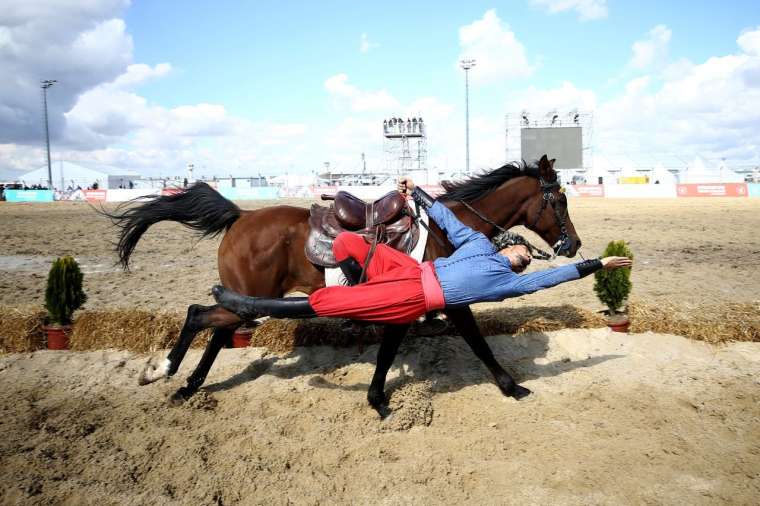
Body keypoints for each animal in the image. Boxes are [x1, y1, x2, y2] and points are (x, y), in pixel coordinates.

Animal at [107, 154, 580, 416]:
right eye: (559, 200)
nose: (573, 243)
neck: (448, 230)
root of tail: (241, 215)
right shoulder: (451, 300)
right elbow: (478, 345)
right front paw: (511, 386)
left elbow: (394, 351)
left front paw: (377, 396)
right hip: (255, 297)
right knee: (198, 316)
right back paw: (166, 371)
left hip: (250, 299)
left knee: (217, 330)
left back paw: (188, 385)